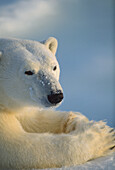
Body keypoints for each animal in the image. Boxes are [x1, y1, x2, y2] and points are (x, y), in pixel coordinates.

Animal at [0, 37, 114, 169]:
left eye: (54, 67)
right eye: (28, 72)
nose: (55, 95)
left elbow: (34, 119)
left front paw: (77, 120)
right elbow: (19, 147)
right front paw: (103, 136)